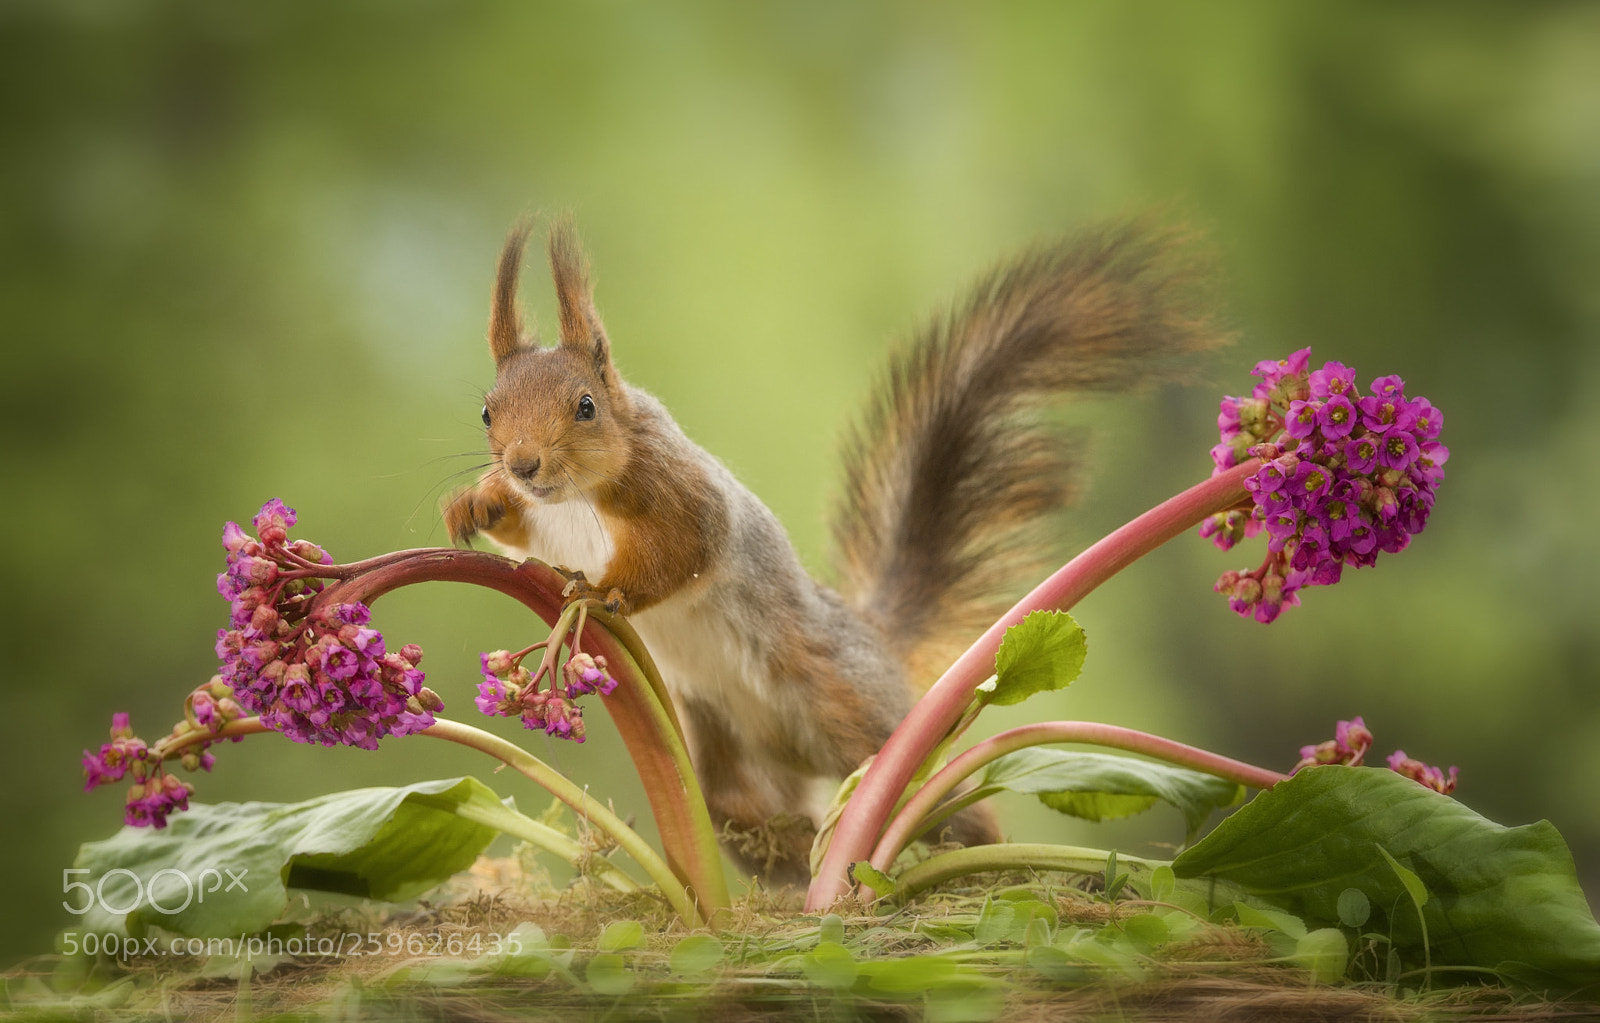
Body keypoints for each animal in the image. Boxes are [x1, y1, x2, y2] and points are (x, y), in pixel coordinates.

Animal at [444, 220, 1216, 883]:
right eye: (486, 412)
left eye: (585, 407)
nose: (522, 464)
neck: (576, 496)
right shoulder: (551, 522)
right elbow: (521, 532)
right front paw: (475, 505)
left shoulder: (679, 494)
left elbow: (686, 550)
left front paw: (604, 593)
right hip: (721, 748)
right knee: (745, 815)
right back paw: (790, 869)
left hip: (854, 713)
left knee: (939, 801)